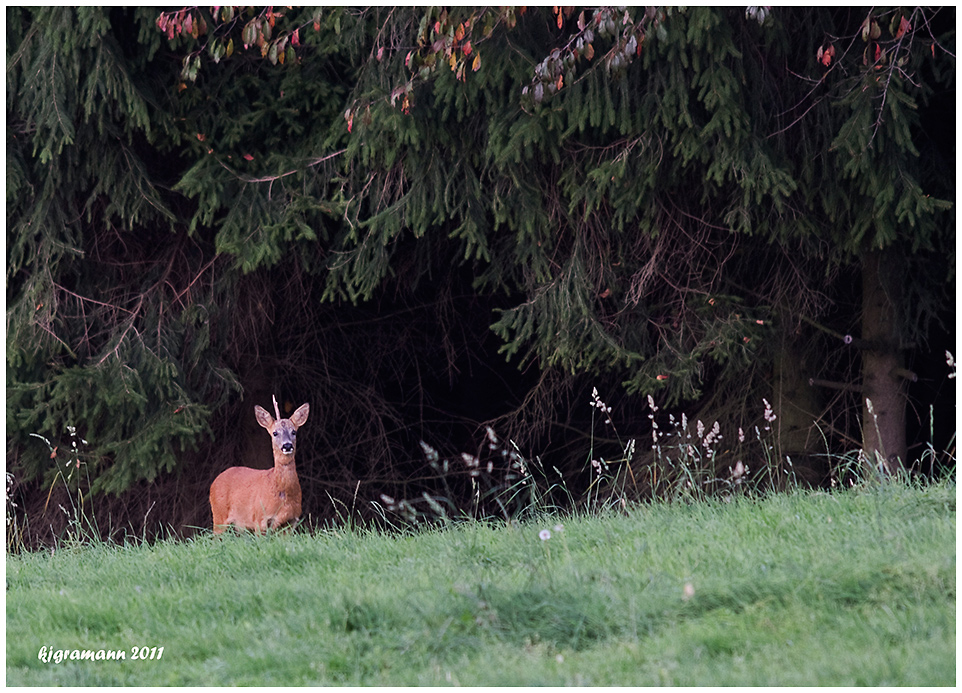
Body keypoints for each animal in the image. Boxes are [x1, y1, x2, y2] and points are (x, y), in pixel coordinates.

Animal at [210, 394, 308, 536]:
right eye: (275, 433)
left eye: (294, 432)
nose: (287, 445)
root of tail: (214, 482)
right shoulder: (260, 518)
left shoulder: (291, 521)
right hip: (219, 515)